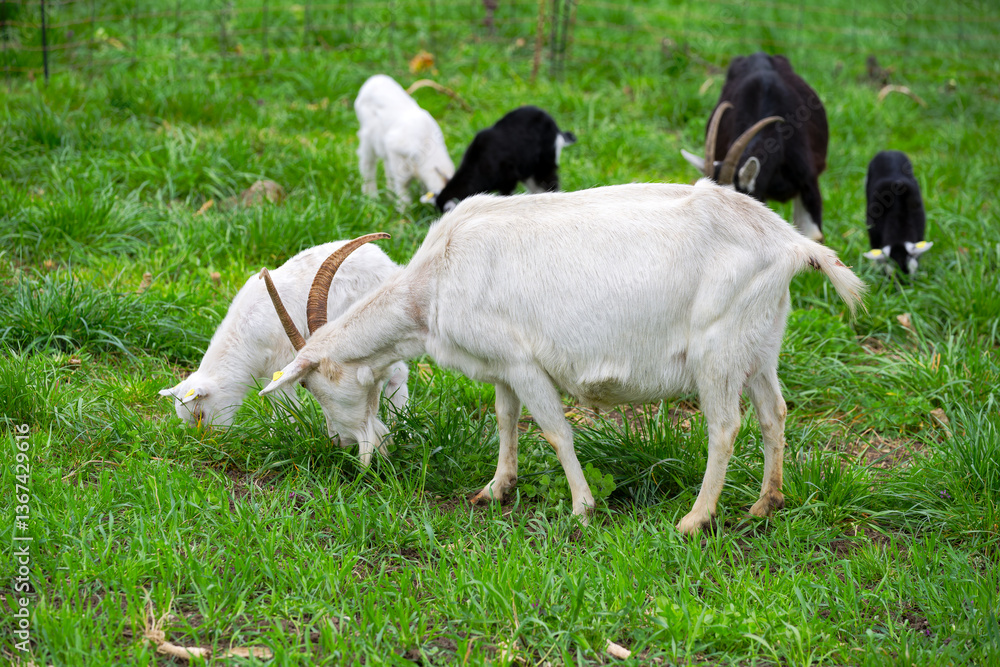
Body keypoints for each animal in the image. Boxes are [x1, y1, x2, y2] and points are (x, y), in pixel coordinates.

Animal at [159, 241, 409, 433]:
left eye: (199, 414)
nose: (212, 439)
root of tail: (389, 263)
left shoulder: (281, 364)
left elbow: (284, 404)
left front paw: (282, 433)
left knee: (397, 372)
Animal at [258, 181, 865, 534]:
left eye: (313, 386)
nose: (347, 451)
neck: (434, 282)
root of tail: (790, 245)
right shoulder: (500, 367)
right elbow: (505, 419)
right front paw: (495, 489)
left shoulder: (524, 363)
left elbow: (555, 431)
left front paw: (581, 508)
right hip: (760, 344)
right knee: (773, 413)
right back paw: (766, 505)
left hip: (717, 350)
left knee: (724, 427)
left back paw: (694, 520)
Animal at [355, 74, 455, 209]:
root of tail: (374, 79)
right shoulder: (397, 152)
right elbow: (403, 182)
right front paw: (404, 208)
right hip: (368, 138)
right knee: (367, 163)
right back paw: (371, 196)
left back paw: (389, 196)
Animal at [433, 106, 576, 212]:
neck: (479, 165)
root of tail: (556, 128)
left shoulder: (508, 177)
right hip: (528, 168)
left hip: (545, 160)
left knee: (548, 180)